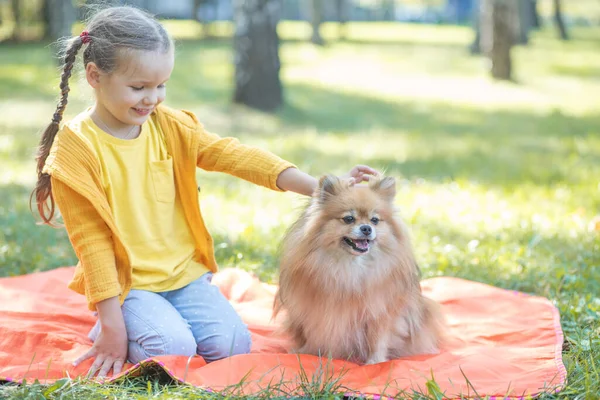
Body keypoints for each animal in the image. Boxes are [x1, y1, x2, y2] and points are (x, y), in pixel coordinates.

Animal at [274, 173, 442, 364]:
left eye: (375, 220)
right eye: (348, 219)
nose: (367, 228)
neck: (351, 266)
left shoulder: (380, 312)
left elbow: (378, 339)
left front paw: (375, 362)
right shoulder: (316, 311)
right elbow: (315, 332)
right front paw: (307, 353)